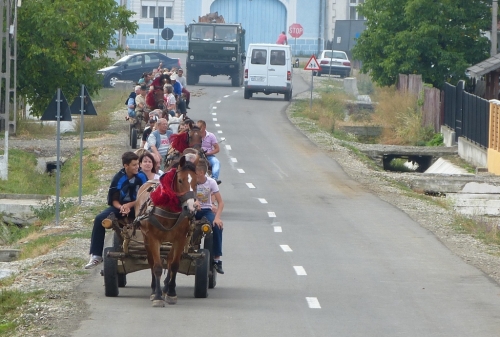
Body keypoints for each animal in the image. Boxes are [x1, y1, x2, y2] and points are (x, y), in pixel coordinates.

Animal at [134, 155, 198, 308]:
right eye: (180, 180)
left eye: (197, 181)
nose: (191, 207)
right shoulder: (153, 238)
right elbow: (157, 266)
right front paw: (157, 296)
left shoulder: (180, 238)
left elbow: (174, 265)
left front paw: (171, 293)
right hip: (145, 237)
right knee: (151, 261)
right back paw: (154, 290)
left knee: (168, 260)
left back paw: (166, 287)